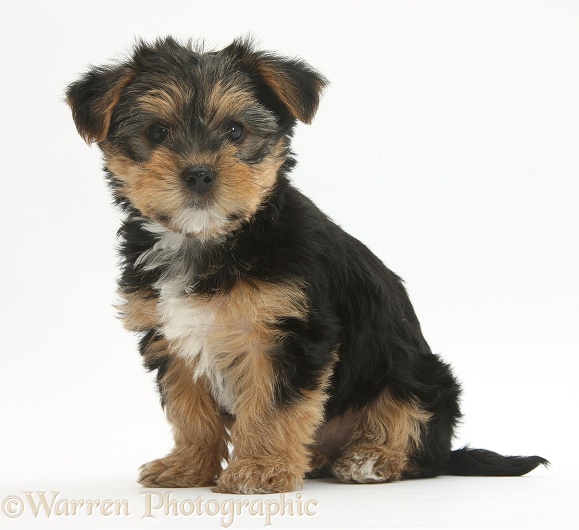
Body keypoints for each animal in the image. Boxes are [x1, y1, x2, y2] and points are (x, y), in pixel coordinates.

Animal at [65, 38, 548, 496]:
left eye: (235, 131)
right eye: (157, 131)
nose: (199, 173)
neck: (208, 239)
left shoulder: (287, 334)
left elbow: (272, 406)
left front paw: (259, 470)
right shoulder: (172, 336)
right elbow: (189, 408)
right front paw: (189, 466)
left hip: (418, 375)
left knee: (415, 428)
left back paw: (372, 458)